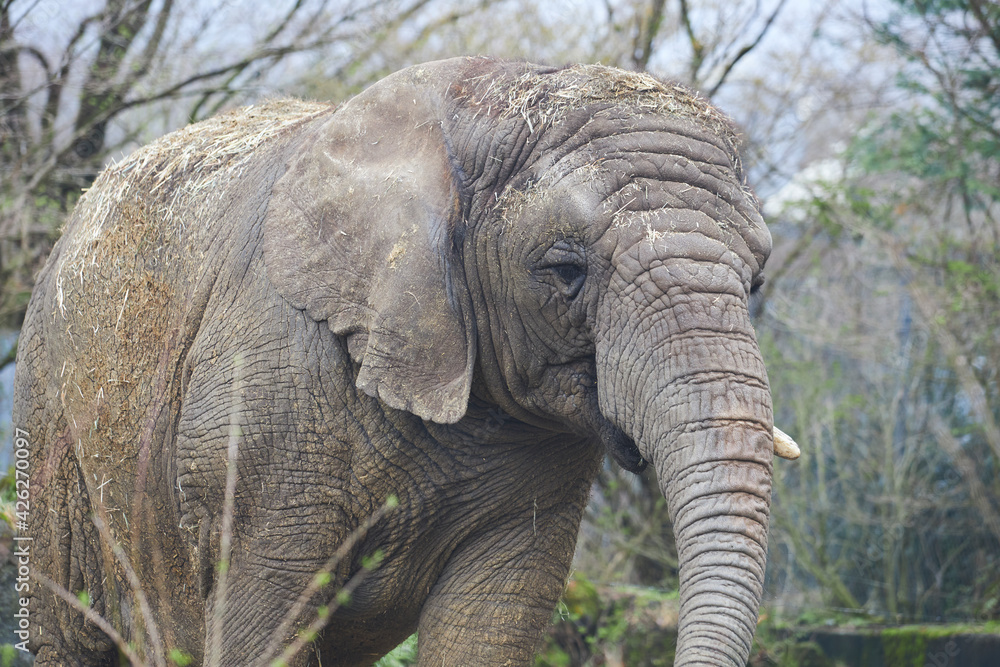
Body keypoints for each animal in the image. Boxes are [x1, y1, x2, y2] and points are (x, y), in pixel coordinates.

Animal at [13, 56, 798, 666]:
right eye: (565, 269)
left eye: (758, 279)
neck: (484, 103)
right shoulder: (256, 421)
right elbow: (266, 620)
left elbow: (491, 623)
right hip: (48, 407)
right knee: (68, 634)